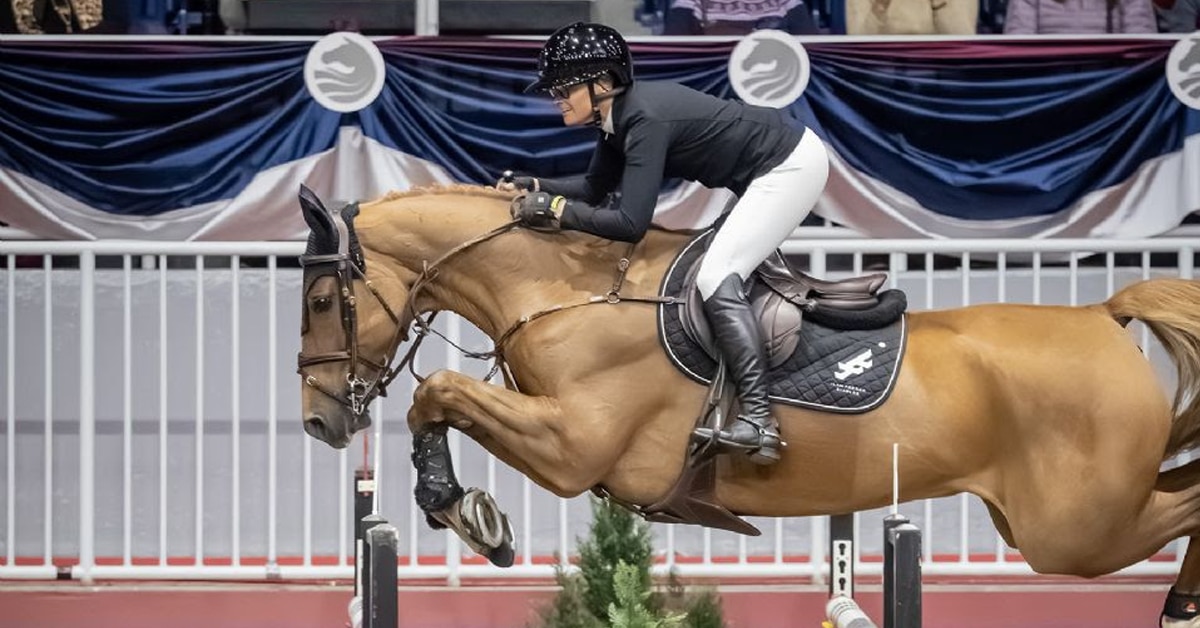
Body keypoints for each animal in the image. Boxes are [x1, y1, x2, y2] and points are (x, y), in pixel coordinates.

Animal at [295, 184, 1200, 627]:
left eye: (318, 300)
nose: (318, 420)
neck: (565, 292)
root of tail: (1103, 315)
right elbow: (437, 401)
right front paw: (465, 511)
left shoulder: (575, 447)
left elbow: (437, 393)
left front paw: (468, 511)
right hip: (1053, 521)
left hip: (1074, 531)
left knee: (1183, 507)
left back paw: (1180, 606)